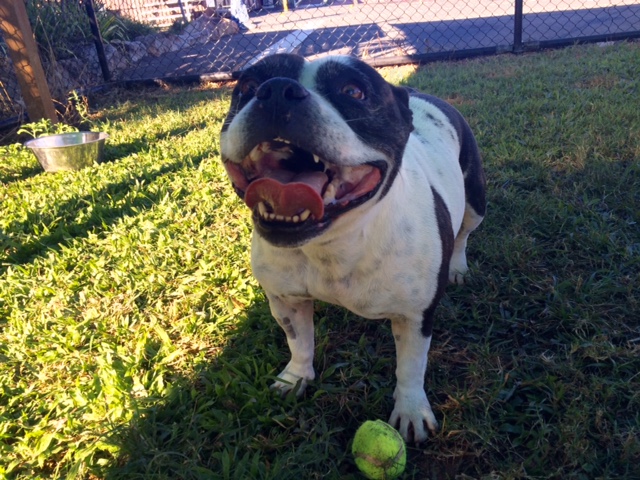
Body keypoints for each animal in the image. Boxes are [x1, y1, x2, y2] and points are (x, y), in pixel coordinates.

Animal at [219, 53, 486, 442]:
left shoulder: (415, 316)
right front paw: (296, 376)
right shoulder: (286, 301)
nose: (277, 90)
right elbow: (299, 341)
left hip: (475, 200)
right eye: (248, 86)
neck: (333, 243)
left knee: (465, 231)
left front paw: (410, 411)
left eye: (353, 91)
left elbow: (411, 367)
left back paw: (458, 267)